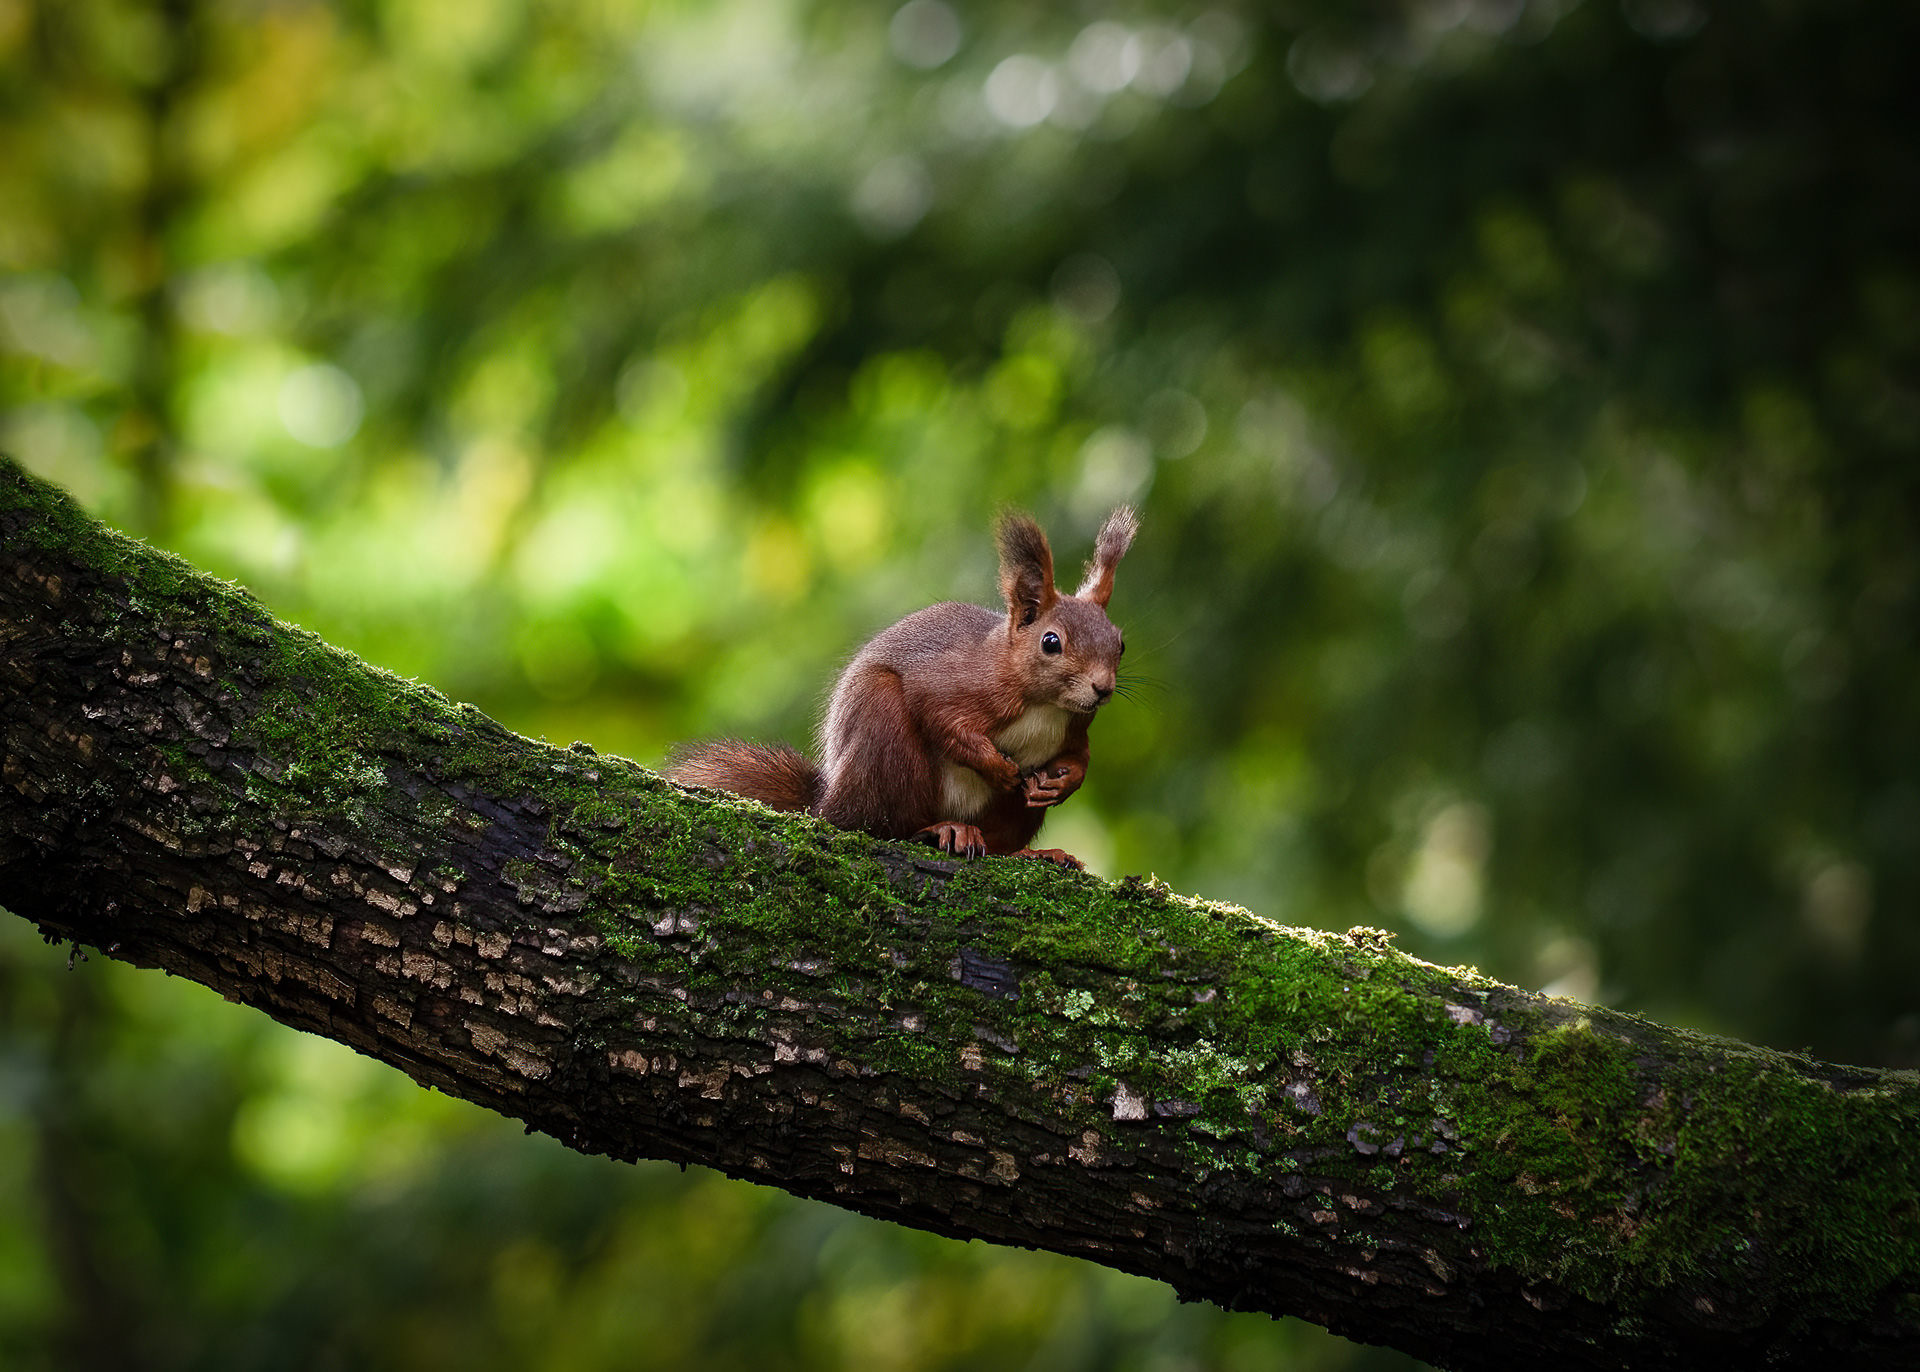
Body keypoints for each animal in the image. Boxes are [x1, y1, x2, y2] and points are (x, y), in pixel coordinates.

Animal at [667, 506, 1138, 869]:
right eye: (1051, 642)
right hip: (885, 739)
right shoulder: (953, 685)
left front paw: (1062, 782)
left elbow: (1079, 757)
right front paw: (998, 767)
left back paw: (1032, 854)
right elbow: (943, 722)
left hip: (1008, 813)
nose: (1102, 689)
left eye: (1120, 642)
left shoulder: (1075, 727)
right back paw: (941, 829)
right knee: (880, 825)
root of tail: (826, 800)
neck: (1045, 704)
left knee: (996, 843)